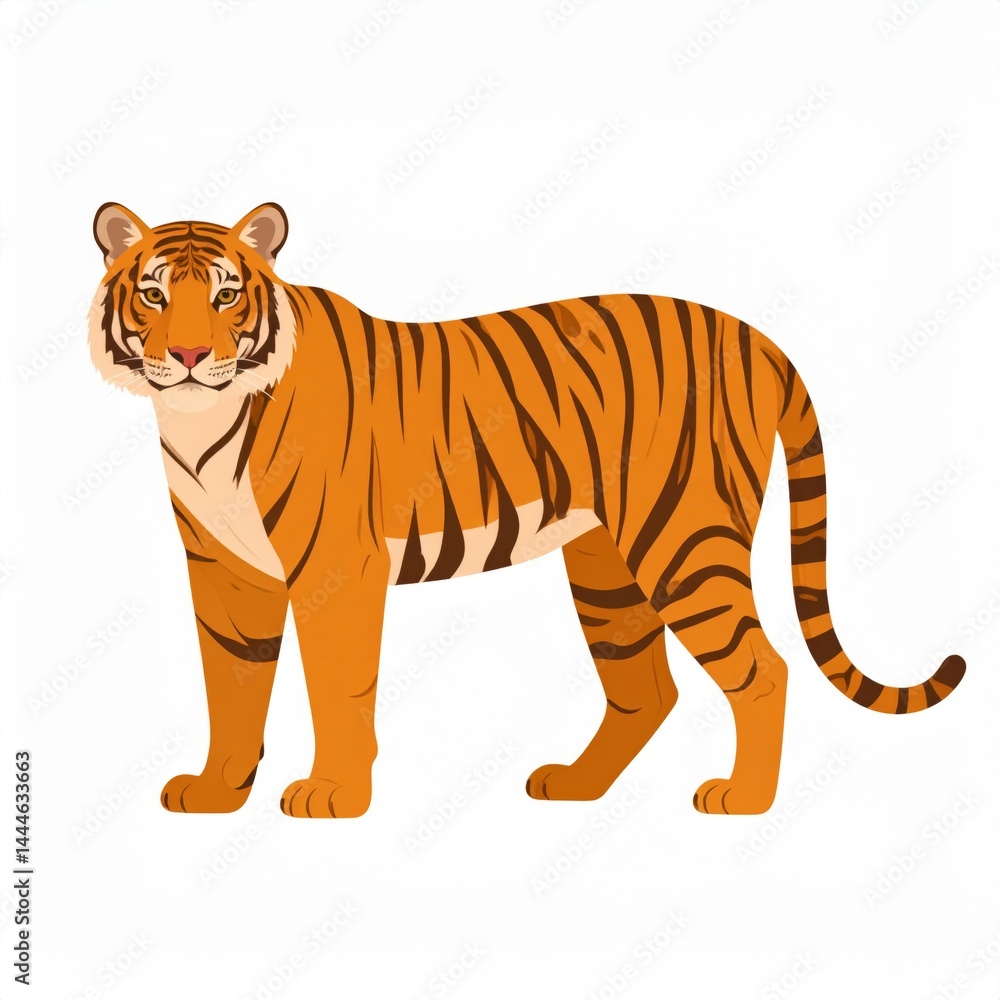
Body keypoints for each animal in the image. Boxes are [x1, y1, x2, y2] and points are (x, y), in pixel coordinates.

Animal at [88, 201, 966, 818]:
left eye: (228, 296)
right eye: (154, 293)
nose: (191, 355)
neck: (202, 420)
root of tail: (755, 337)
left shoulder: (336, 568)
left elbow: (336, 688)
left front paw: (332, 795)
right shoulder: (225, 573)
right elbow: (231, 685)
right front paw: (215, 793)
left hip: (685, 541)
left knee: (762, 668)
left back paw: (743, 800)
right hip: (609, 565)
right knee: (647, 690)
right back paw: (575, 785)